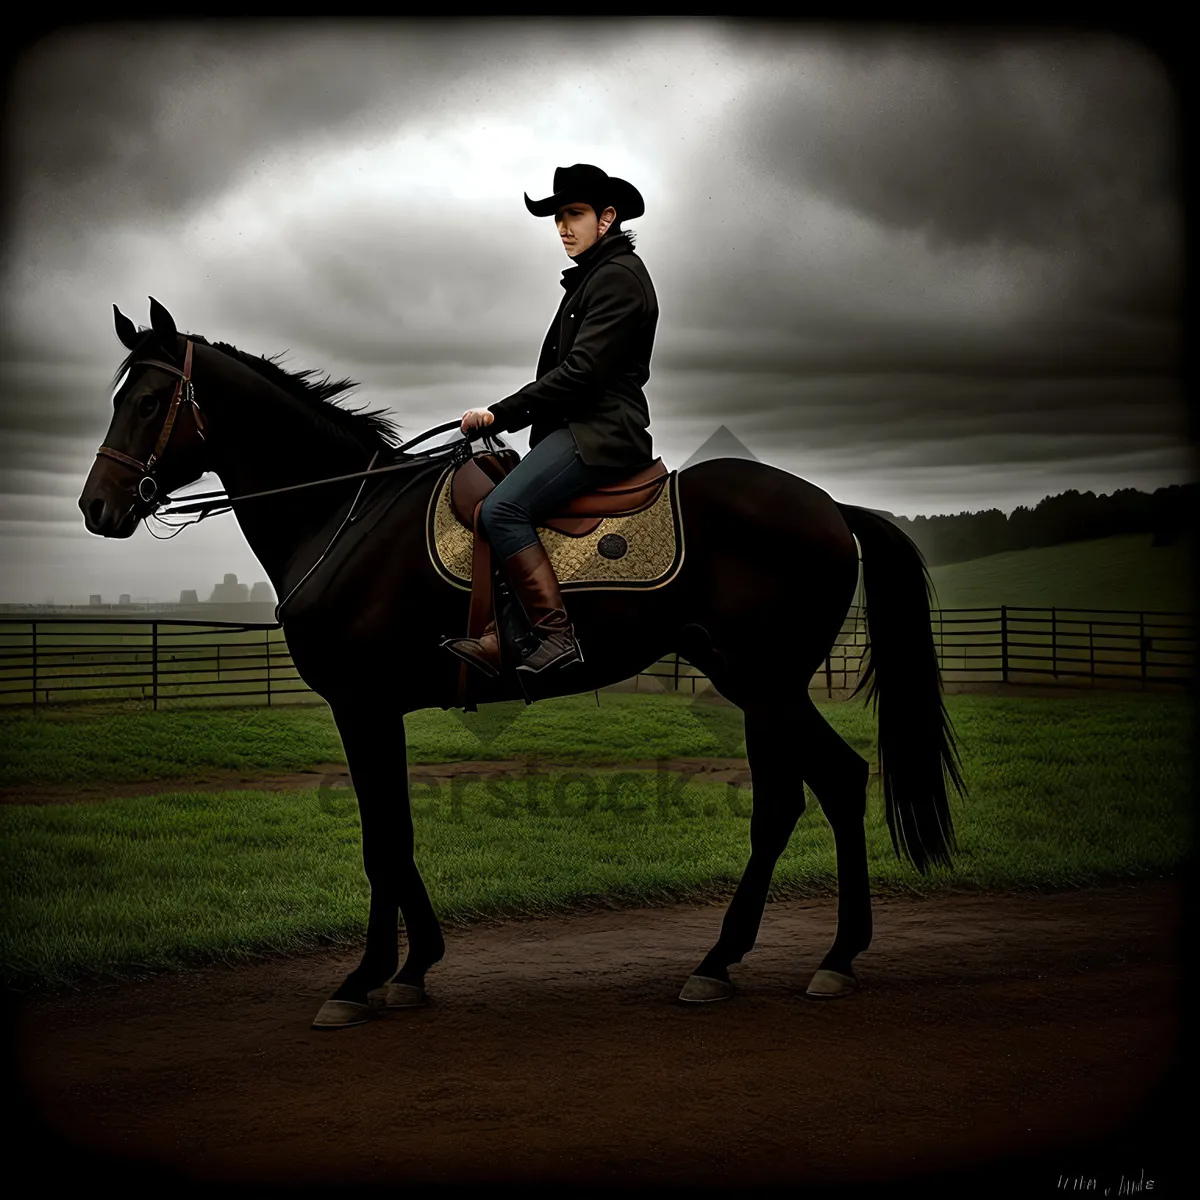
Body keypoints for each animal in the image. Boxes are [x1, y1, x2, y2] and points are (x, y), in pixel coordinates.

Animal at [79, 300, 964, 1032]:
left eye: (150, 401)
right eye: (119, 398)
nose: (96, 507)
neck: (344, 516)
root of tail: (829, 506)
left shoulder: (361, 705)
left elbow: (380, 839)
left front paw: (362, 980)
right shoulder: (376, 710)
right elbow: (395, 832)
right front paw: (414, 968)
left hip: (767, 683)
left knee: (840, 781)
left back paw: (834, 959)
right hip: (751, 686)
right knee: (785, 802)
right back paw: (721, 964)